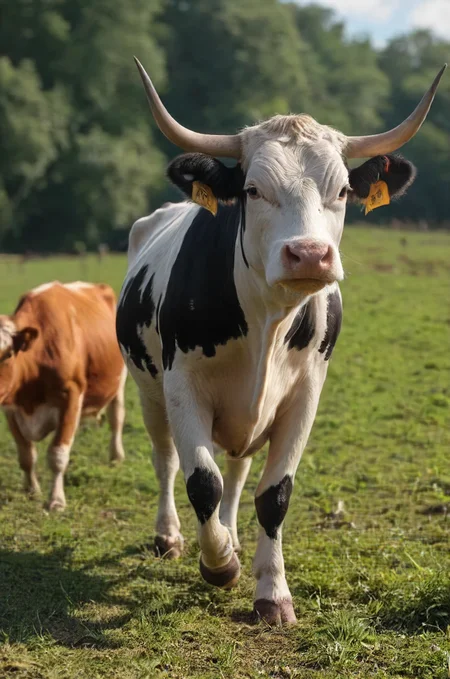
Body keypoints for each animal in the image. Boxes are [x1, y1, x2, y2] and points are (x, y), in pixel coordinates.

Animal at [0, 282, 127, 510]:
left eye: (8, 354)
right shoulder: (11, 408)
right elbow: (26, 454)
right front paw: (32, 491)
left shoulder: (71, 396)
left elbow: (57, 454)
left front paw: (56, 500)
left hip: (120, 380)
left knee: (117, 418)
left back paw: (116, 456)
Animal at [117, 59, 446, 625]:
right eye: (252, 190)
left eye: (343, 191)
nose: (309, 254)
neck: (267, 322)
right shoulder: (184, 388)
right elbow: (199, 481)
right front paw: (219, 564)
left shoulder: (304, 393)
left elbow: (273, 494)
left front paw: (271, 591)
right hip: (149, 392)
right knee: (167, 460)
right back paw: (173, 537)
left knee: (237, 469)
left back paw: (231, 534)